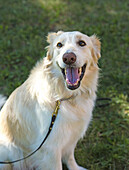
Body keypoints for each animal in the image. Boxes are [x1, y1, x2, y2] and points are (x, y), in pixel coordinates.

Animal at [0, 30, 101, 170]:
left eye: (82, 43)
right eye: (59, 45)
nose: (68, 58)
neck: (63, 97)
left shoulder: (71, 136)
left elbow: (70, 157)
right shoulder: (50, 148)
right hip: (12, 151)